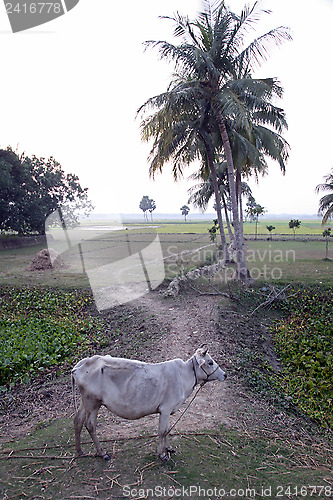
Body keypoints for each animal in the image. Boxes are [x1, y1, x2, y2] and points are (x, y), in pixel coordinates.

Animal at [70, 346, 226, 458]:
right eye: (210, 362)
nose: (224, 374)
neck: (184, 375)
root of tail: (81, 364)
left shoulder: (167, 411)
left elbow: (167, 429)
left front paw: (169, 448)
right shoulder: (165, 409)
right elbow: (162, 431)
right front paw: (162, 454)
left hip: (86, 402)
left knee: (78, 420)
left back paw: (79, 450)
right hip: (93, 403)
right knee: (90, 425)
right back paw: (102, 453)